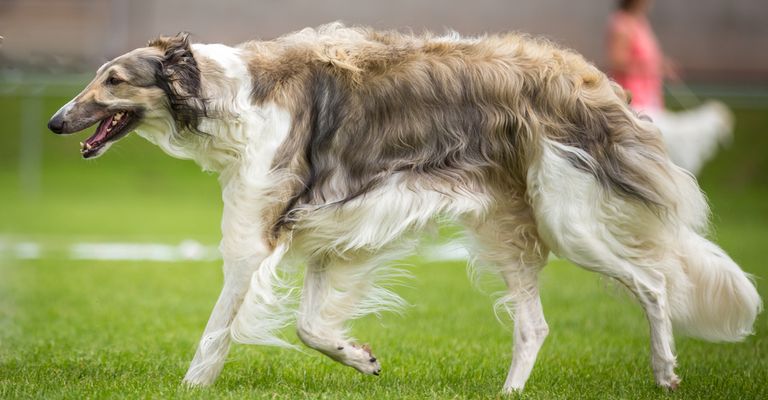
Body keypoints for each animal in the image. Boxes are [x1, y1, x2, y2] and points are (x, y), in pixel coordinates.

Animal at [49, 23, 760, 392]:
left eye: (113, 79)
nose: (56, 121)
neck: (227, 95)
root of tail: (587, 78)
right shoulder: (330, 234)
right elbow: (310, 328)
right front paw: (360, 356)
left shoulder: (254, 240)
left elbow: (218, 334)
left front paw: (191, 385)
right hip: (506, 228)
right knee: (534, 326)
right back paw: (510, 389)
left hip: (569, 221)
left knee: (654, 281)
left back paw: (666, 371)